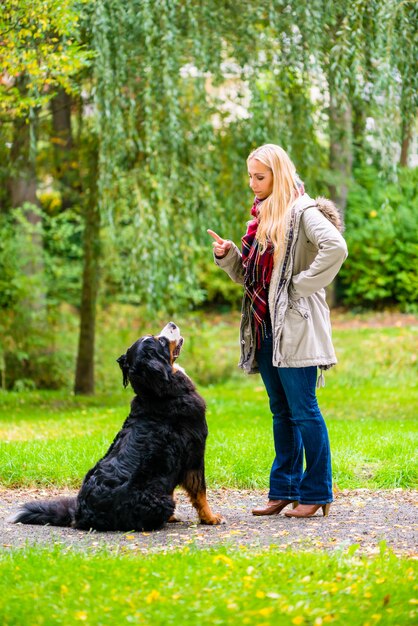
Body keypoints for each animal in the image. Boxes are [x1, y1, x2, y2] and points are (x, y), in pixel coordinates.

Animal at [10, 324, 222, 528]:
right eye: (161, 341)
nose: (172, 324)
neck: (157, 394)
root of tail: (79, 514)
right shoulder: (194, 453)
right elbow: (200, 492)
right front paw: (210, 518)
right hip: (161, 500)